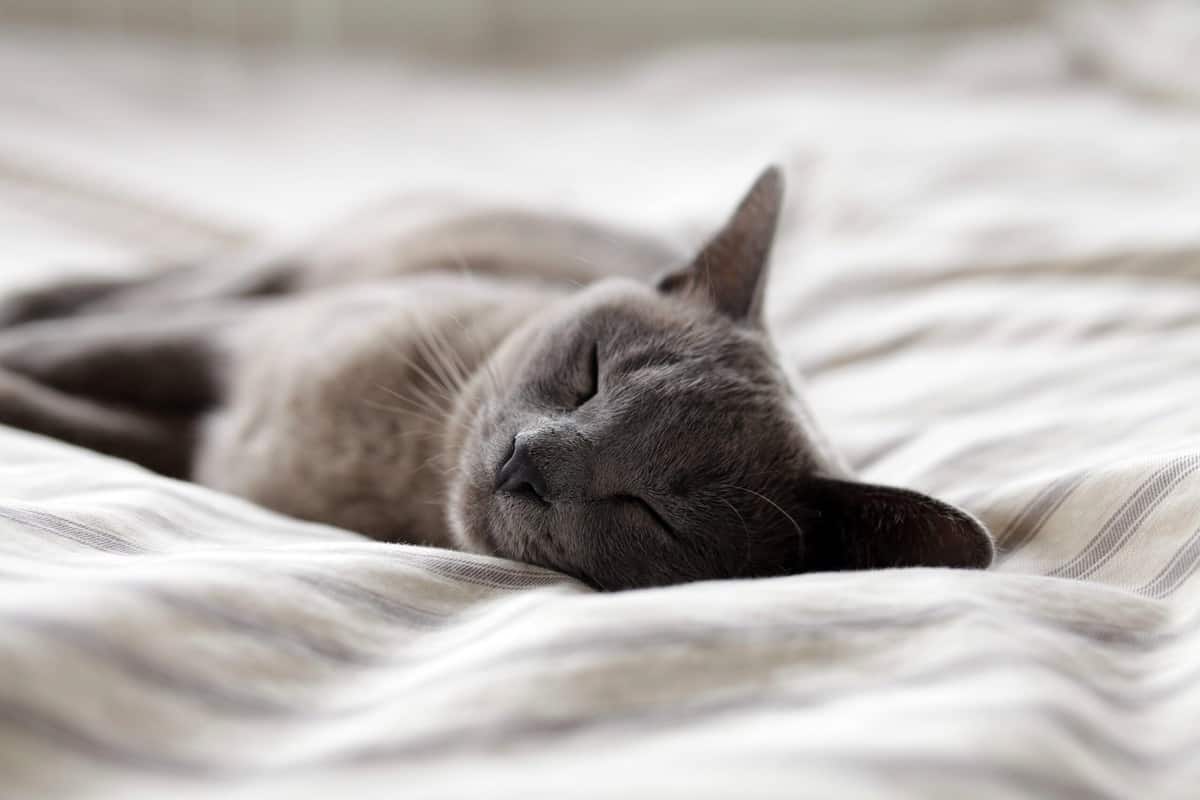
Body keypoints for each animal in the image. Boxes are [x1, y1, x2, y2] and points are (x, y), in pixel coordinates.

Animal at [0, 167, 993, 587]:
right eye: (589, 374)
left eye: (653, 512)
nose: (528, 462)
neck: (395, 467)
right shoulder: (233, 344)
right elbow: (82, 356)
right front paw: (19, 351)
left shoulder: (198, 444)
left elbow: (79, 419)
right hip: (281, 272)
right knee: (147, 286)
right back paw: (34, 293)